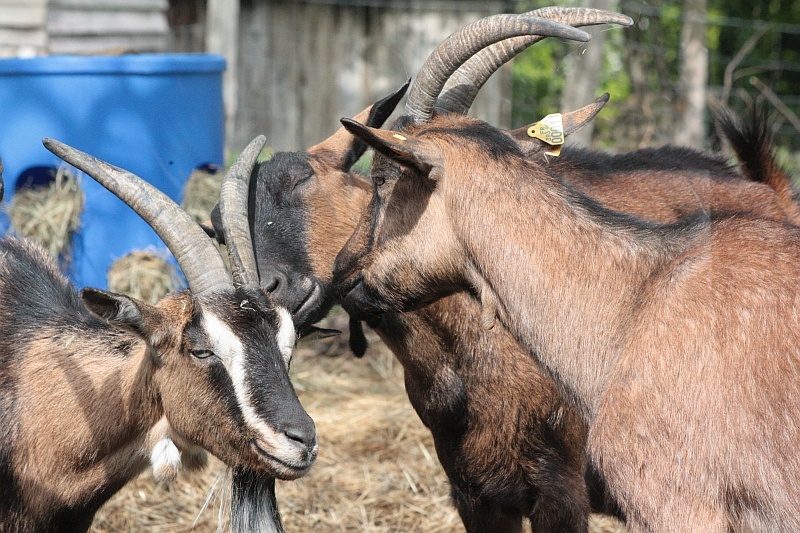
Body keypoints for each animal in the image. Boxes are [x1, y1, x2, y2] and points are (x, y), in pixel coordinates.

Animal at [225, 10, 800, 533]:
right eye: (215, 226)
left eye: (382, 179)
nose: (342, 273)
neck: (633, 296)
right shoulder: (477, 492)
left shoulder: (603, 496)